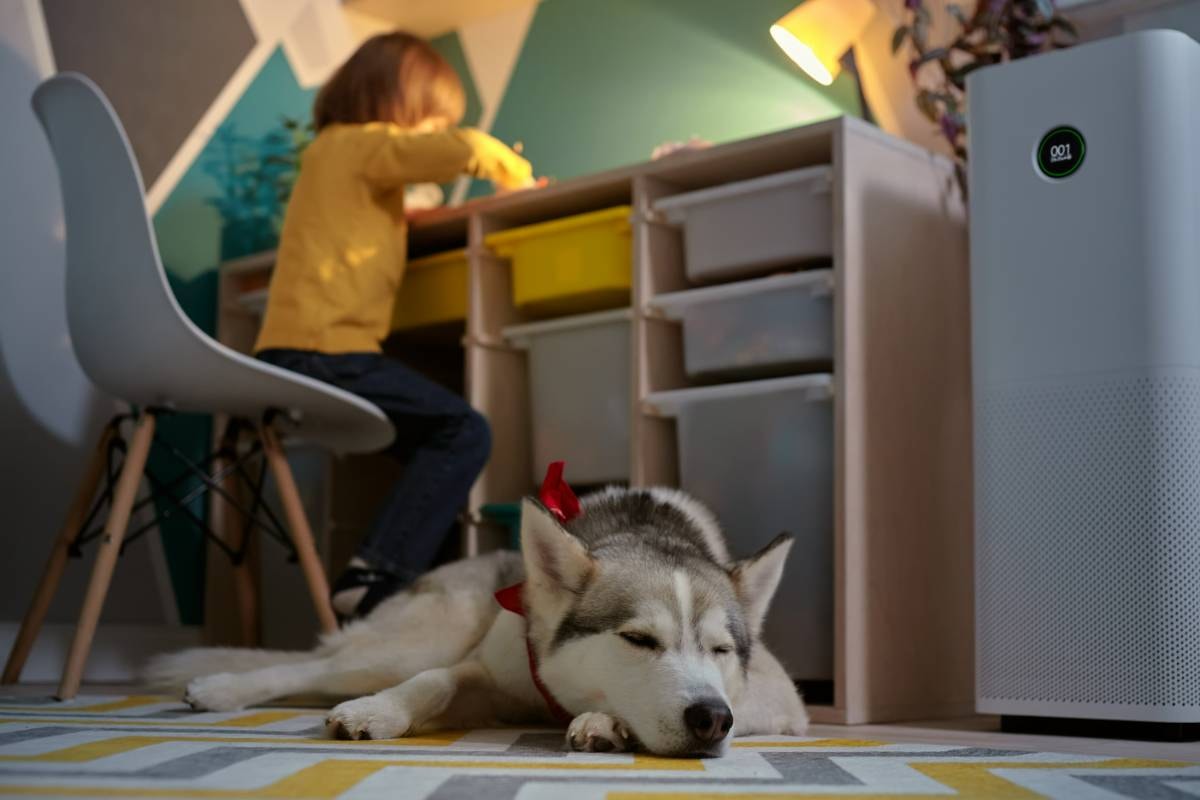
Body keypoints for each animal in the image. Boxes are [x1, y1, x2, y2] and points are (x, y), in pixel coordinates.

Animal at [145, 489, 811, 758]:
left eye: (721, 650)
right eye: (638, 640)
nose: (710, 720)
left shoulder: (781, 697)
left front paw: (606, 721)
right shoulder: (490, 671)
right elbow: (437, 680)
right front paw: (379, 712)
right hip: (416, 639)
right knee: (317, 667)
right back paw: (222, 687)